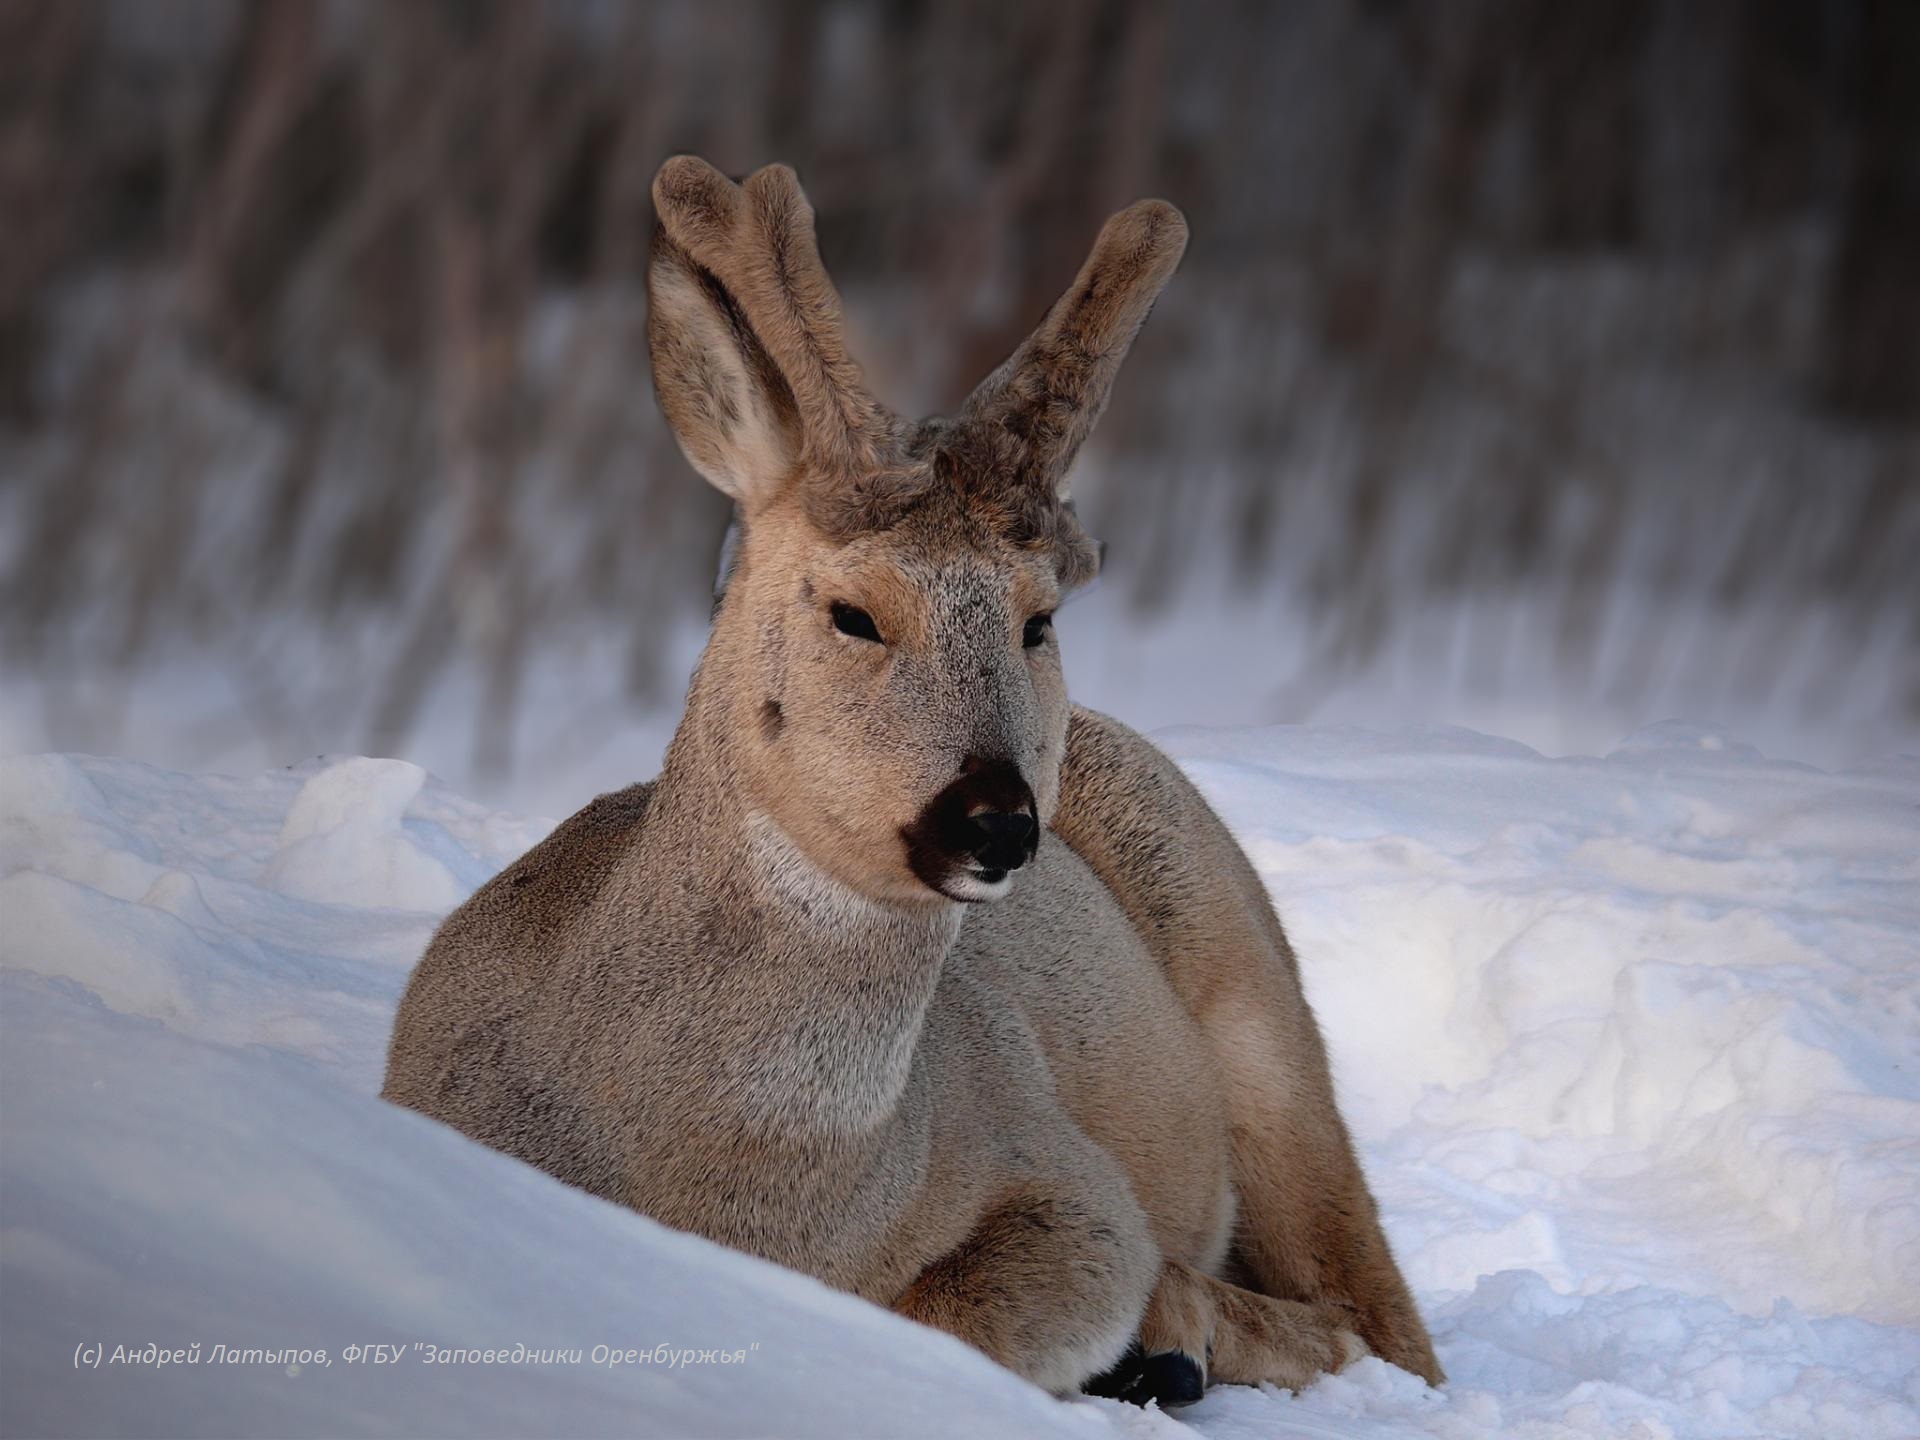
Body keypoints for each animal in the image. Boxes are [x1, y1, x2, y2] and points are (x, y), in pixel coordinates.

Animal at [382, 157, 1443, 1413]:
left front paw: (1141, 1332)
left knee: (1384, 1327)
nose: (996, 820)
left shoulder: (1061, 1174)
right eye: (854, 613)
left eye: (1040, 621)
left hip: (1260, 1010)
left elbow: (964, 1309)